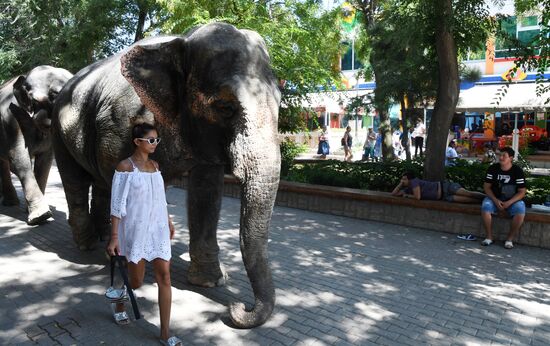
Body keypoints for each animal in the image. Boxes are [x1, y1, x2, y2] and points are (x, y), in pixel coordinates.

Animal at [0, 65, 73, 224]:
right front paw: (41, 216)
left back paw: (11, 202)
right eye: (53, 95)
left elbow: (45, 162)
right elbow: (18, 159)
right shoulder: (10, 118)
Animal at [51, 23, 280, 328]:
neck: (182, 43)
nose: (237, 308)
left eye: (280, 103)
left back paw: (101, 239)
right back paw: (88, 245)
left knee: (99, 184)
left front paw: (210, 282)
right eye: (225, 107)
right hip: (57, 129)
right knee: (75, 181)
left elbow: (207, 192)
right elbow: (119, 178)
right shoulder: (118, 123)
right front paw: (128, 259)